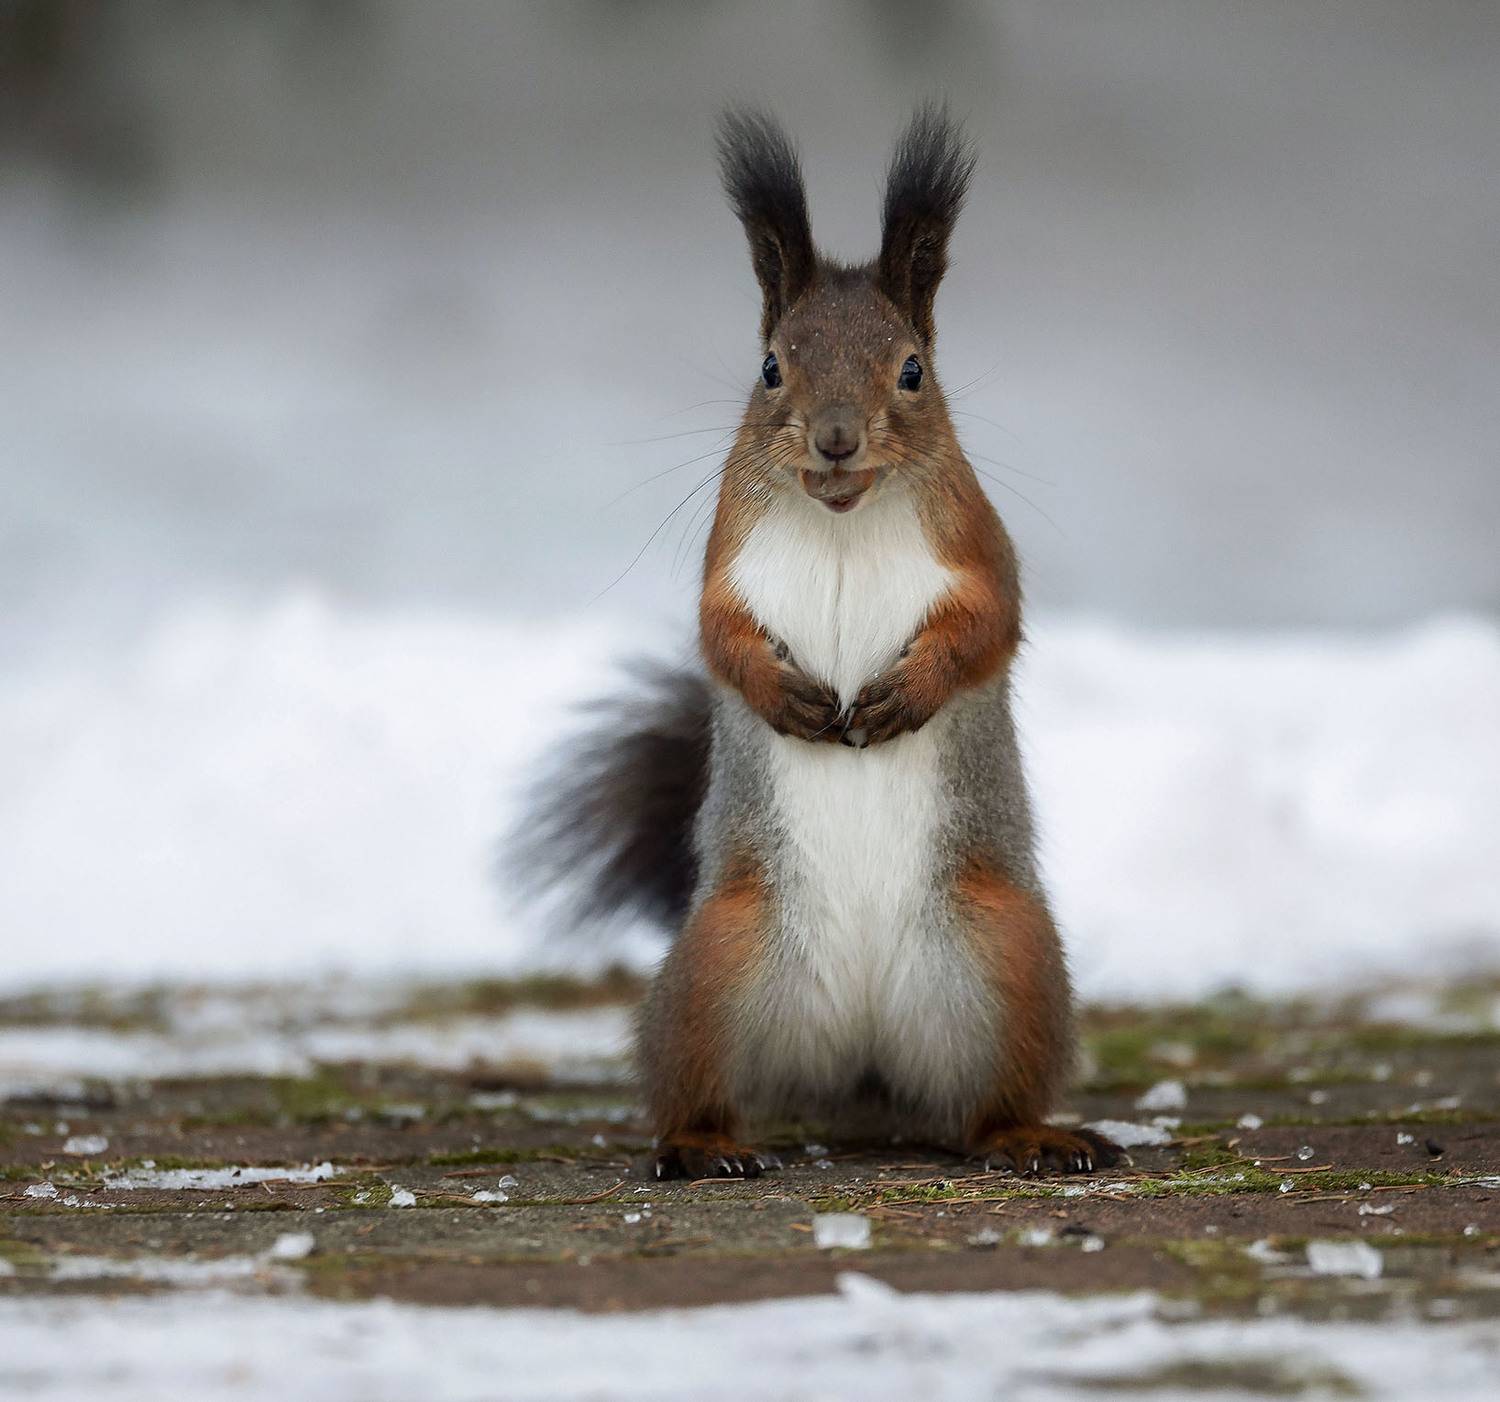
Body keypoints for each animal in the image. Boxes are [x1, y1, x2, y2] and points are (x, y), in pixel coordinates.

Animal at [516, 105, 1122, 1182]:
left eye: (913, 371)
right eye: (770, 368)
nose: (836, 437)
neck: (844, 517)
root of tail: (860, 1059)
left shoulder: (982, 551)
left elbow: (989, 626)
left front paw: (908, 691)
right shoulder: (724, 562)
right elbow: (718, 636)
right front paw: (783, 695)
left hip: (1008, 960)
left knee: (988, 1105)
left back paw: (1032, 1136)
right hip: (714, 965)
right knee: (697, 1082)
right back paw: (702, 1145)